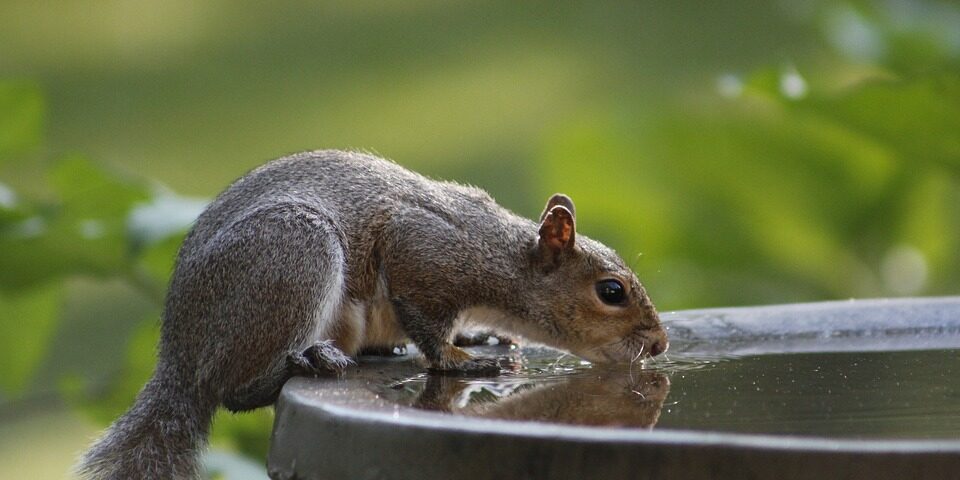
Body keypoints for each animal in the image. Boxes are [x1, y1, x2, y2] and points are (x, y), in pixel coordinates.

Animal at [77, 150, 668, 479]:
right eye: (611, 291)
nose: (659, 344)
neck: (498, 257)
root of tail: (178, 349)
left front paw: (478, 338)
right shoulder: (420, 253)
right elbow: (429, 329)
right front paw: (462, 359)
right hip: (292, 258)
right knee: (232, 388)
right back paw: (304, 362)